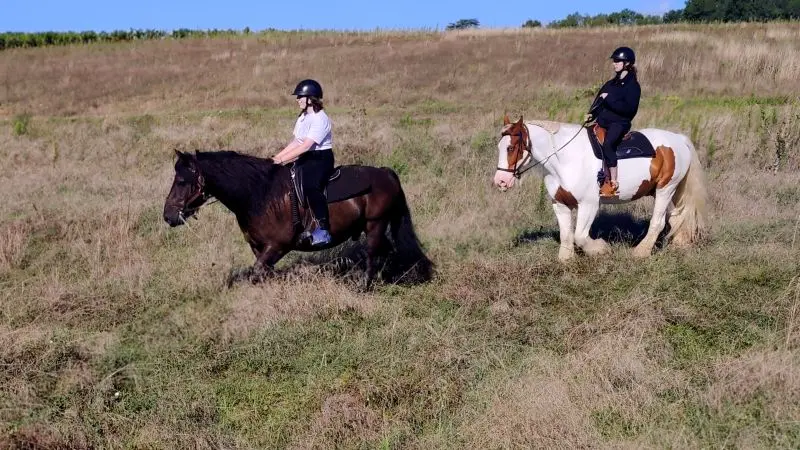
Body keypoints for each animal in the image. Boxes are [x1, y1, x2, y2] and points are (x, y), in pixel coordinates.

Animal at [163, 150, 433, 289]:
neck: (259, 194)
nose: (168, 216)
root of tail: (386, 173)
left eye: (182, 181)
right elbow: (262, 273)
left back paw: (365, 286)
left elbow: (258, 271)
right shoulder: (258, 248)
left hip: (375, 225)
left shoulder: (277, 246)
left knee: (372, 254)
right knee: (386, 251)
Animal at [492, 115, 708, 261]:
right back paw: (680, 244)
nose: (500, 181)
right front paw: (566, 260)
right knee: (677, 218)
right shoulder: (560, 204)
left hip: (666, 189)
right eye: (499, 147)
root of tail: (679, 139)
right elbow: (566, 234)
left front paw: (601, 249)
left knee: (659, 222)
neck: (565, 159)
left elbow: (579, 236)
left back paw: (640, 252)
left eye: (511, 148)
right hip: (665, 191)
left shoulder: (589, 204)